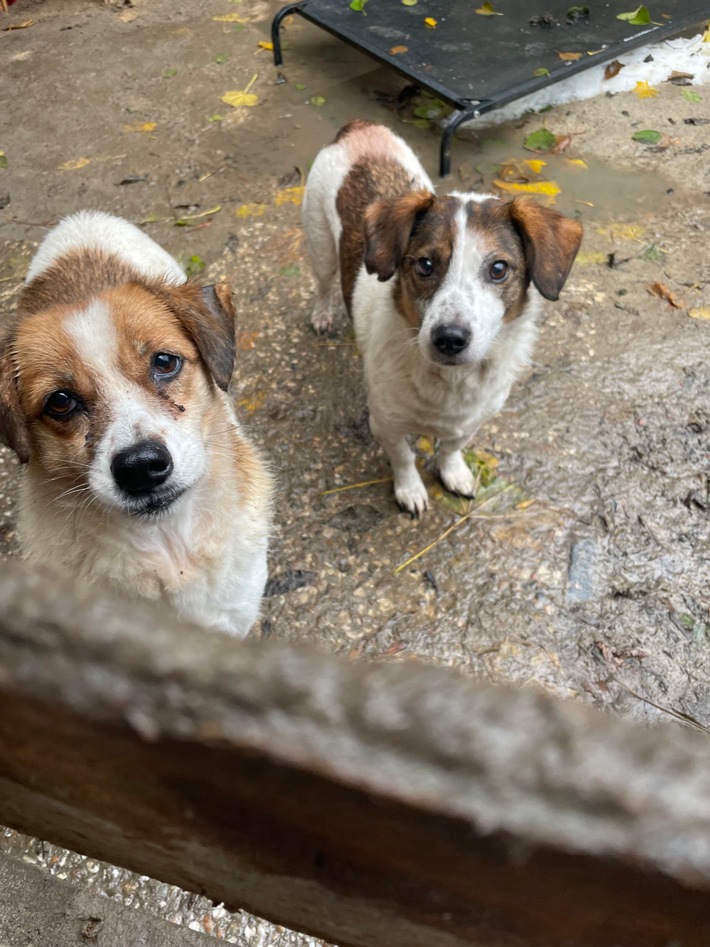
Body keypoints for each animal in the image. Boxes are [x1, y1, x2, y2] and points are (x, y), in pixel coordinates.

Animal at [302, 122, 584, 520]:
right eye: (425, 264)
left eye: (499, 269)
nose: (449, 338)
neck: (452, 383)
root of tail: (360, 128)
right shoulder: (385, 424)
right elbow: (403, 458)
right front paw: (410, 490)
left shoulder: (471, 421)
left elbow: (451, 448)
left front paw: (454, 473)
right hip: (321, 246)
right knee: (324, 283)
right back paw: (323, 313)